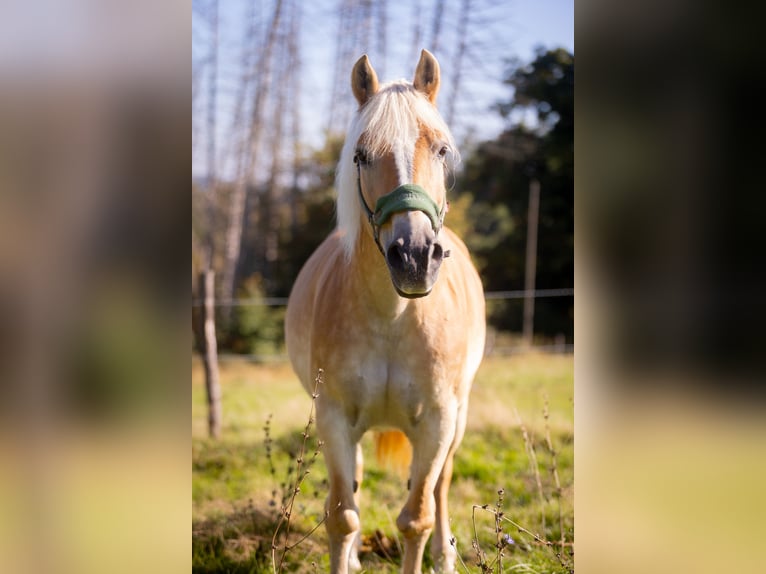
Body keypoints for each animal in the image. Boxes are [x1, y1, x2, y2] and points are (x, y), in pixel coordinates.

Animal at [285, 49, 486, 574]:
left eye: (441, 150)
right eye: (361, 155)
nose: (414, 256)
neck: (394, 318)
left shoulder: (438, 420)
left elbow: (417, 517)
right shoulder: (333, 417)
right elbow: (341, 516)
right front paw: (349, 551)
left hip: (458, 418)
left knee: (441, 485)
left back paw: (445, 554)